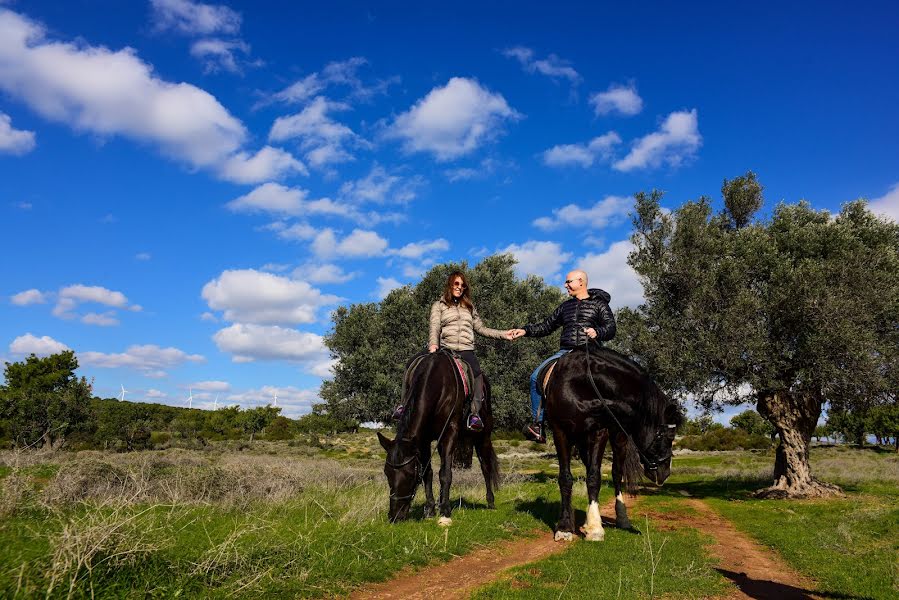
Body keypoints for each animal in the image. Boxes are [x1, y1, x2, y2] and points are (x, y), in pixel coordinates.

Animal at [374, 352, 500, 524]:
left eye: (410, 474)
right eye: (387, 473)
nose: (395, 516)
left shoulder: (449, 433)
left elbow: (445, 474)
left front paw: (445, 509)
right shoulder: (423, 439)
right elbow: (428, 472)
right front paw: (430, 509)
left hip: (483, 437)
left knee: (486, 467)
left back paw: (491, 501)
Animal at [540, 344, 684, 540]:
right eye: (668, 437)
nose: (665, 473)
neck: (582, 386)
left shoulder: (599, 433)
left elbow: (594, 477)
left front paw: (594, 527)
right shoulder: (560, 432)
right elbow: (565, 478)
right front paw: (565, 526)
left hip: (618, 439)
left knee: (616, 474)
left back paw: (622, 518)